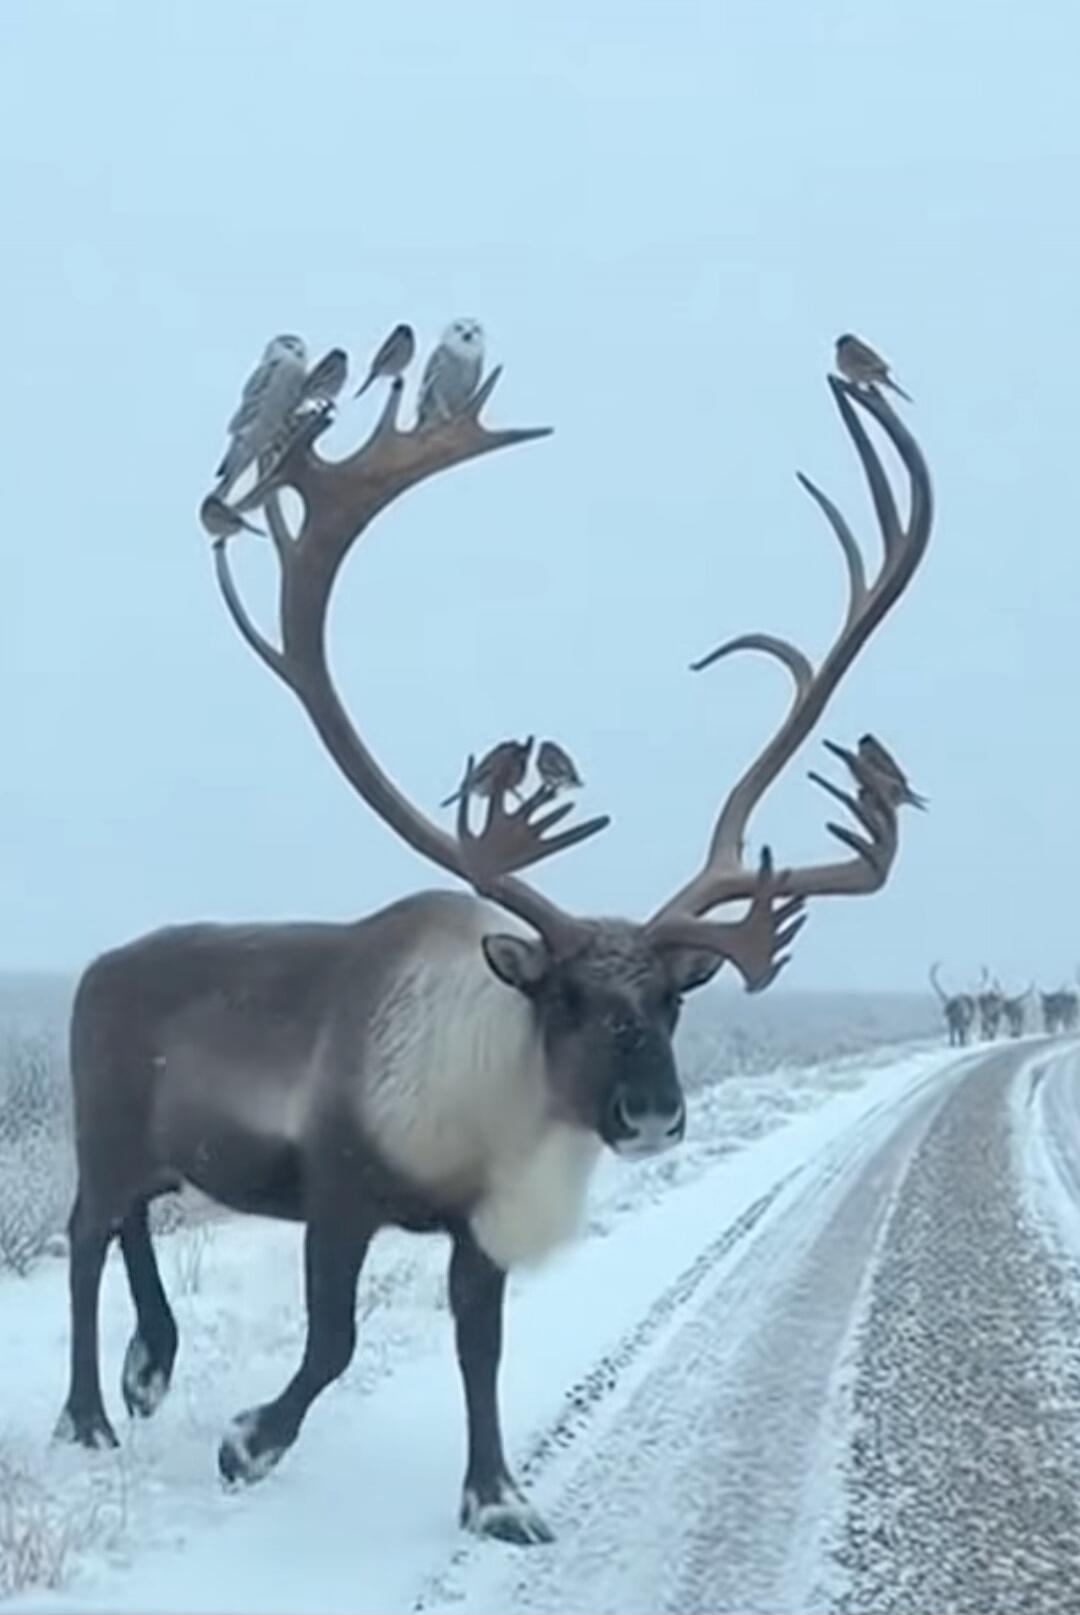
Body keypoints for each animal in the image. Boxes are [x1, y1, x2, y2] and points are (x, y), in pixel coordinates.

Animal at [55, 356, 932, 1546]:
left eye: (673, 999)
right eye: (564, 997)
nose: (653, 1112)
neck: (502, 1103)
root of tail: (96, 967)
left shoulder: (481, 1230)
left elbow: (483, 1344)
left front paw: (498, 1496)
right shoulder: (338, 1190)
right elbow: (333, 1339)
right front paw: (248, 1441)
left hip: (157, 1147)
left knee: (133, 1220)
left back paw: (151, 1366)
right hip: (102, 1129)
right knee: (86, 1231)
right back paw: (92, 1414)